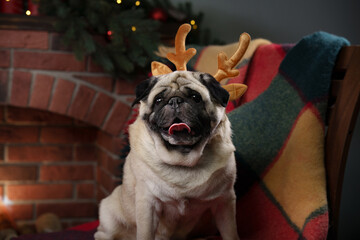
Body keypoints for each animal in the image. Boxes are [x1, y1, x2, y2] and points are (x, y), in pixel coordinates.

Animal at [94, 70, 239, 239]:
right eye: (158, 100)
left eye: (195, 97)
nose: (175, 101)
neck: (182, 159)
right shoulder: (148, 203)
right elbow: (145, 233)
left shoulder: (224, 201)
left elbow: (230, 233)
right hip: (110, 213)